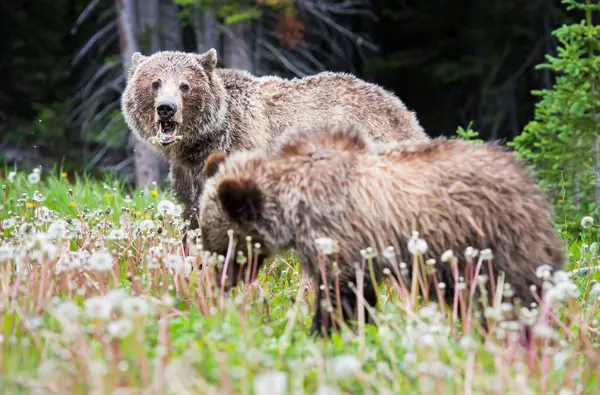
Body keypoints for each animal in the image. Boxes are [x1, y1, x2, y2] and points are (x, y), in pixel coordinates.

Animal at [119, 48, 428, 243]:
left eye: (185, 85)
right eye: (155, 83)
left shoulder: (240, 147)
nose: (166, 108)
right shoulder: (188, 170)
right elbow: (193, 212)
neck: (206, 138)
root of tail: (402, 110)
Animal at [198, 124, 568, 338]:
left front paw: (322, 330)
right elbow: (360, 294)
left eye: (220, 242)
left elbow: (338, 293)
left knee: (514, 293)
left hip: (493, 239)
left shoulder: (335, 233)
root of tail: (530, 182)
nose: (220, 280)